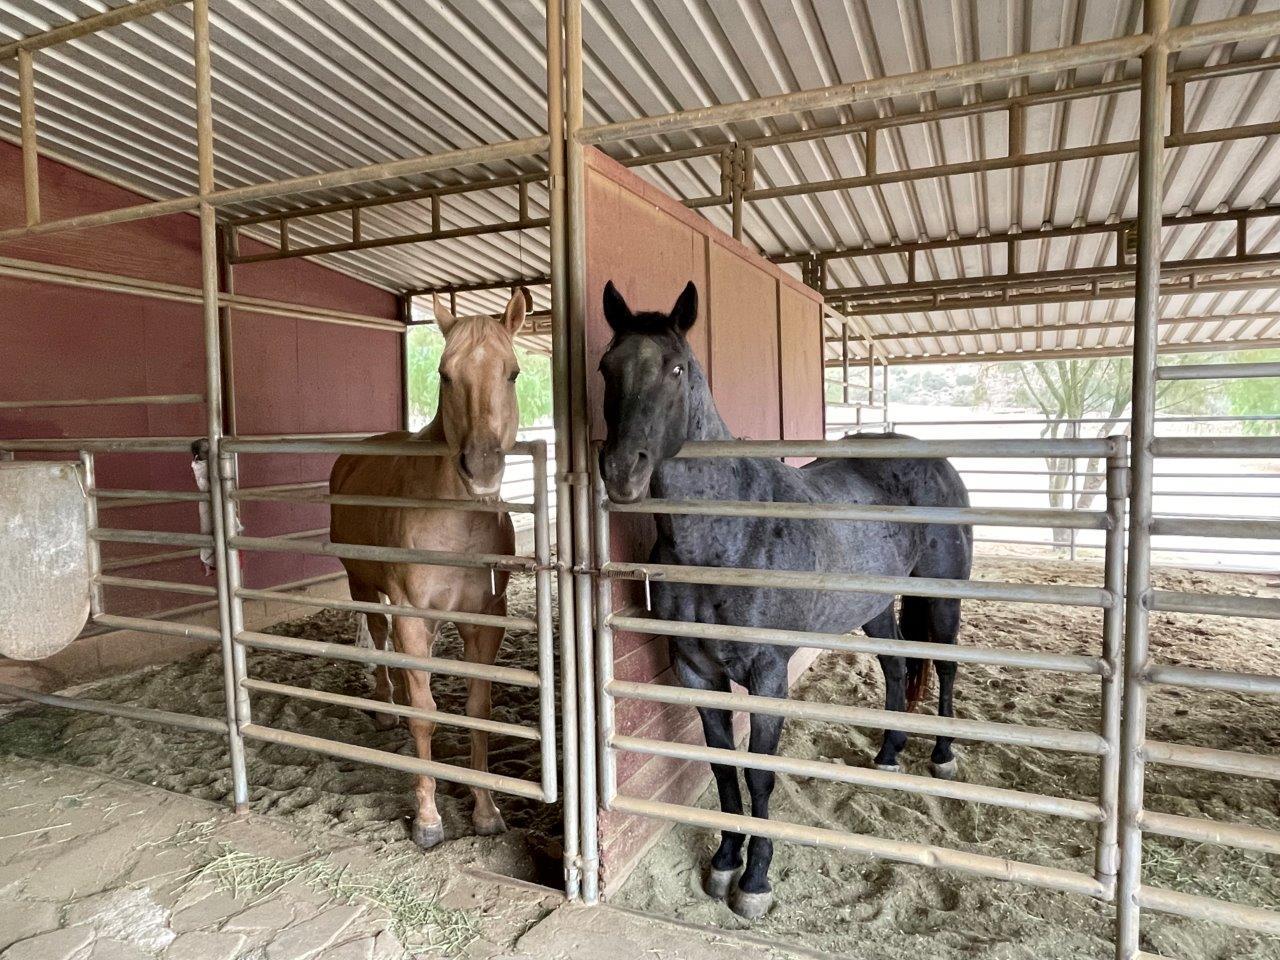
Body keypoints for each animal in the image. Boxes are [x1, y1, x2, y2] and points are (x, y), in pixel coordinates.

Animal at [329, 288, 527, 851]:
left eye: (512, 373)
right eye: (444, 374)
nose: (482, 468)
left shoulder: (485, 622)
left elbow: (479, 711)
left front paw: (486, 810)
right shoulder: (414, 618)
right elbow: (424, 717)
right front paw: (427, 818)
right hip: (362, 583)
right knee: (377, 635)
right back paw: (383, 704)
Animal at [596, 280, 973, 919]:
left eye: (676, 368)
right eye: (605, 366)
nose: (623, 472)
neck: (723, 536)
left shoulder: (768, 677)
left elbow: (760, 776)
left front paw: (755, 881)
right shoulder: (697, 674)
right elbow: (725, 769)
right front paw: (725, 862)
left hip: (943, 601)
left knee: (944, 666)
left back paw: (941, 755)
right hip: (875, 608)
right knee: (898, 666)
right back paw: (889, 753)